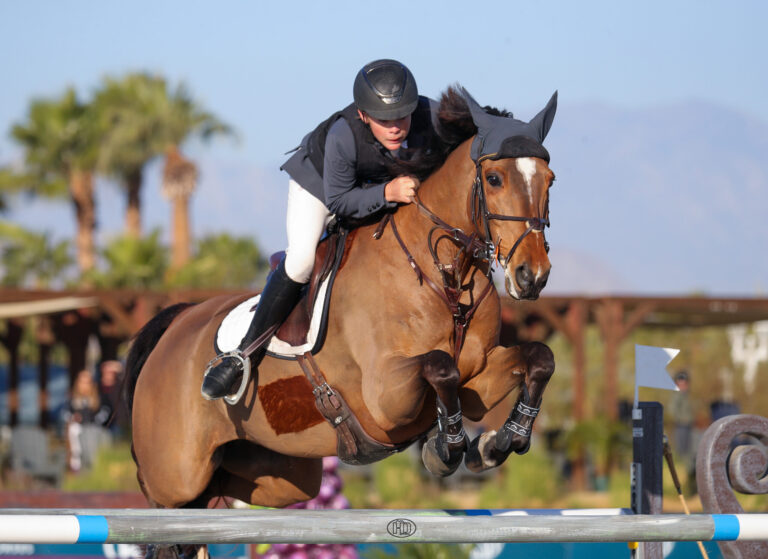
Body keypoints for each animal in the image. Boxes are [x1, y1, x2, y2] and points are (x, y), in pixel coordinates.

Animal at [124, 86, 560, 544]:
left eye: (550, 179)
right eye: (494, 179)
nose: (532, 276)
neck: (445, 276)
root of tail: (176, 323)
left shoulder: (479, 376)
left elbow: (539, 358)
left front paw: (497, 442)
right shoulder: (385, 398)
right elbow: (441, 367)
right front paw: (446, 448)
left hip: (278, 473)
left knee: (220, 495)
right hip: (175, 479)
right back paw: (226, 371)